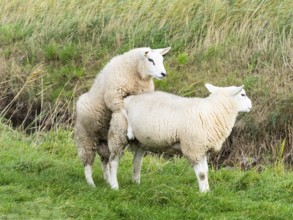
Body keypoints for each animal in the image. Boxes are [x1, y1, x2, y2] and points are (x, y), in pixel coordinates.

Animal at [74, 46, 171, 187]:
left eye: (162, 59)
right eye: (150, 60)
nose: (163, 74)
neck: (136, 73)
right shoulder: (114, 97)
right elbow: (124, 111)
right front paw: (130, 131)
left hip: (105, 142)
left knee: (105, 161)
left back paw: (108, 180)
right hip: (86, 136)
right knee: (88, 161)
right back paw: (91, 183)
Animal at [107, 83, 251, 192]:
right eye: (243, 94)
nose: (251, 106)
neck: (212, 112)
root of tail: (125, 100)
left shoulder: (202, 149)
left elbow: (206, 171)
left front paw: (207, 191)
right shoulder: (193, 148)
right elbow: (202, 174)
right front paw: (203, 194)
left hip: (140, 140)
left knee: (137, 161)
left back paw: (136, 183)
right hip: (118, 133)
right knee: (113, 161)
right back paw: (114, 186)